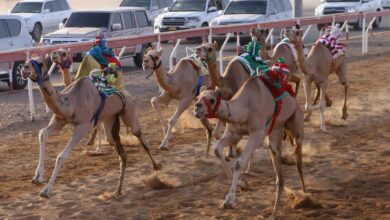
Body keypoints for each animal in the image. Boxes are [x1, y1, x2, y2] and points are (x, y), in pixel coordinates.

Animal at [21, 55, 160, 198]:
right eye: (27, 62)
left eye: (40, 63)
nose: (24, 68)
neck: (70, 102)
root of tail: (124, 94)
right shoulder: (59, 120)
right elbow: (42, 133)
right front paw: (37, 177)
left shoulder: (82, 126)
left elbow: (61, 156)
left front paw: (46, 190)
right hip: (110, 119)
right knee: (121, 152)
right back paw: (118, 191)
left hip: (128, 112)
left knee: (141, 137)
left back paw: (157, 167)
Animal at [193, 78, 306, 219]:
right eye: (197, 97)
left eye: (212, 99)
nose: (197, 107)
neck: (244, 109)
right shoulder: (234, 134)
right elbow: (216, 149)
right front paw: (243, 184)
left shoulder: (257, 134)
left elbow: (238, 162)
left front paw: (229, 199)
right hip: (276, 131)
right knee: (279, 172)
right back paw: (274, 213)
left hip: (296, 124)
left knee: (298, 159)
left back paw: (304, 195)